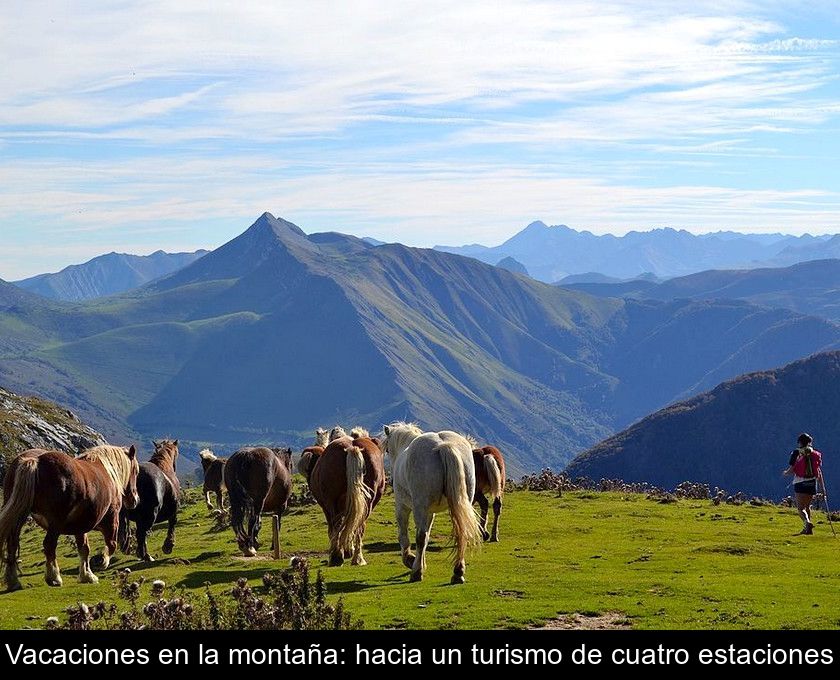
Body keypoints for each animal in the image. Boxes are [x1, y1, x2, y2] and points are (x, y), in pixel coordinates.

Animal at [0, 446, 139, 588]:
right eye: (136, 472)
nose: (134, 500)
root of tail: (35, 461)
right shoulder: (112, 519)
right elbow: (111, 544)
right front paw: (101, 561)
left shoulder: (81, 526)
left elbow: (84, 548)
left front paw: (87, 576)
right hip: (55, 522)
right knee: (49, 544)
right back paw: (54, 578)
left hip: (19, 515)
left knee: (12, 543)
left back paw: (13, 581)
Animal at [306, 428, 388, 564]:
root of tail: (352, 447)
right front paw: (349, 549)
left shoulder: (326, 507)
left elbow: (335, 529)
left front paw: (345, 550)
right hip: (368, 502)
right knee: (359, 525)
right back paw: (357, 558)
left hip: (332, 503)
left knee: (336, 525)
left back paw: (336, 557)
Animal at [380, 420, 480, 584]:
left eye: (388, 450)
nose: (391, 481)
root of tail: (444, 445)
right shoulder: (430, 512)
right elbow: (426, 538)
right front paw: (420, 562)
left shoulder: (402, 507)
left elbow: (405, 536)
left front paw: (411, 560)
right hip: (460, 504)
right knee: (461, 533)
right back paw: (458, 573)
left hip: (419, 507)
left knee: (420, 537)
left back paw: (416, 572)